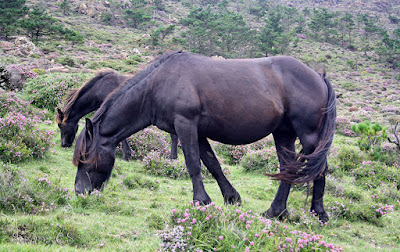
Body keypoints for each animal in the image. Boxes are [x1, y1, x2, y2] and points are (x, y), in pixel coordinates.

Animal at [73, 51, 336, 222]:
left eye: (85, 159)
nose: (79, 192)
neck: (158, 84)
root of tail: (318, 76)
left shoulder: (186, 124)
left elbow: (193, 164)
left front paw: (200, 200)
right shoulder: (197, 132)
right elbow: (212, 164)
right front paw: (231, 197)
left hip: (309, 136)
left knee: (319, 169)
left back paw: (319, 213)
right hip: (283, 134)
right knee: (288, 169)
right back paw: (276, 212)